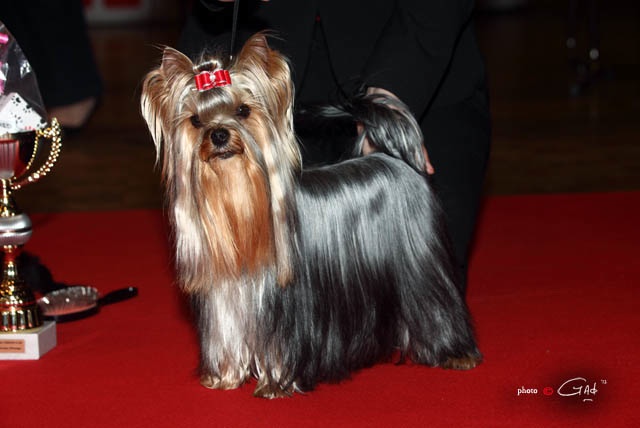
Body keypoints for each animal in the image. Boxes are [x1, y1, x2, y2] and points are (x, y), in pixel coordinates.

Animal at [141, 33, 481, 398]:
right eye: (195, 121)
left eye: (243, 111)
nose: (218, 135)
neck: (239, 202)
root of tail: (396, 158)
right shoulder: (226, 300)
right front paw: (225, 377)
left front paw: (274, 384)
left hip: (419, 265)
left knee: (436, 302)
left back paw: (456, 353)